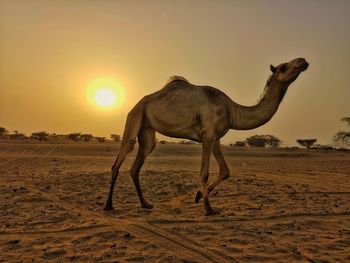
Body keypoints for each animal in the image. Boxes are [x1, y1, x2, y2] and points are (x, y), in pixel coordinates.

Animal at [104, 56, 308, 216]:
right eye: (283, 67)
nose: (302, 61)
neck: (231, 111)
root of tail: (136, 104)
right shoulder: (208, 135)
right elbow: (204, 173)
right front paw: (208, 208)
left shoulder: (216, 137)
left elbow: (225, 171)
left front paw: (198, 196)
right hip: (135, 116)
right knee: (119, 159)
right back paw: (109, 205)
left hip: (147, 130)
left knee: (138, 163)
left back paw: (145, 204)